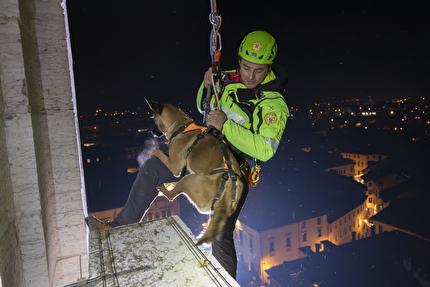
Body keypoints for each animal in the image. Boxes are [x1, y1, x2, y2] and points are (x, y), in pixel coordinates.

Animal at [147, 99, 242, 245]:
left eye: (153, 118)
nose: (152, 132)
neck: (180, 124)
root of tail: (227, 189)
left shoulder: (174, 166)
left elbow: (158, 152)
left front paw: (152, 153)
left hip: (189, 179)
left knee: (171, 196)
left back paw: (162, 187)